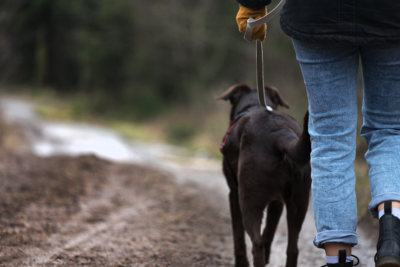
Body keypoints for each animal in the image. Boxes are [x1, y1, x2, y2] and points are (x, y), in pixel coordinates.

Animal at [217, 84, 310, 267]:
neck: (253, 105)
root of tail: (281, 134)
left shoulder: (234, 193)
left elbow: (238, 234)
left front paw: (241, 261)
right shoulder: (278, 201)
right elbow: (270, 229)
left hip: (249, 199)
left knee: (256, 243)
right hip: (299, 202)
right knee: (293, 248)